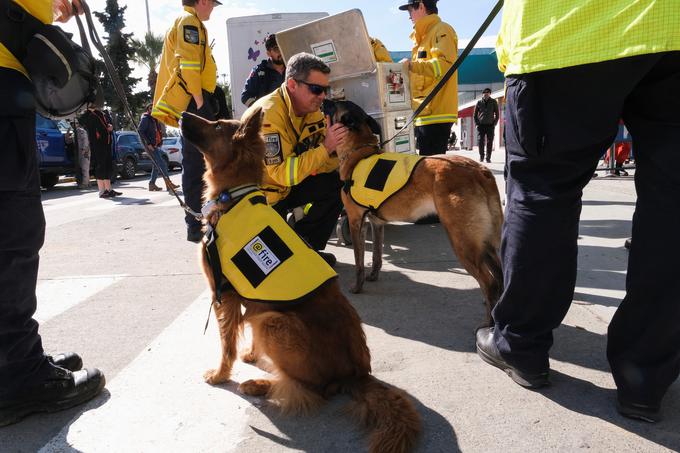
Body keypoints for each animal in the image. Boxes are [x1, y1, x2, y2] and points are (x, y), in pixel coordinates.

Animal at [179, 107, 420, 450]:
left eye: (216, 125)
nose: (182, 115)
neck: (233, 196)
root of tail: (358, 374)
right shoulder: (252, 300)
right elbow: (246, 331)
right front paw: (251, 354)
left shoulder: (223, 294)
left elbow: (227, 345)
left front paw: (221, 375)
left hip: (276, 323)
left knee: (314, 389)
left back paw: (259, 385)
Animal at [330, 100, 504, 322]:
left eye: (333, 105)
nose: (323, 100)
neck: (359, 153)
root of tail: (479, 170)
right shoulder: (376, 224)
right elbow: (377, 255)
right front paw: (373, 276)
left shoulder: (355, 221)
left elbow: (359, 261)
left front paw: (357, 287)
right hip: (484, 242)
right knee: (499, 276)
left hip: (462, 241)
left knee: (489, 283)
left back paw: (488, 323)